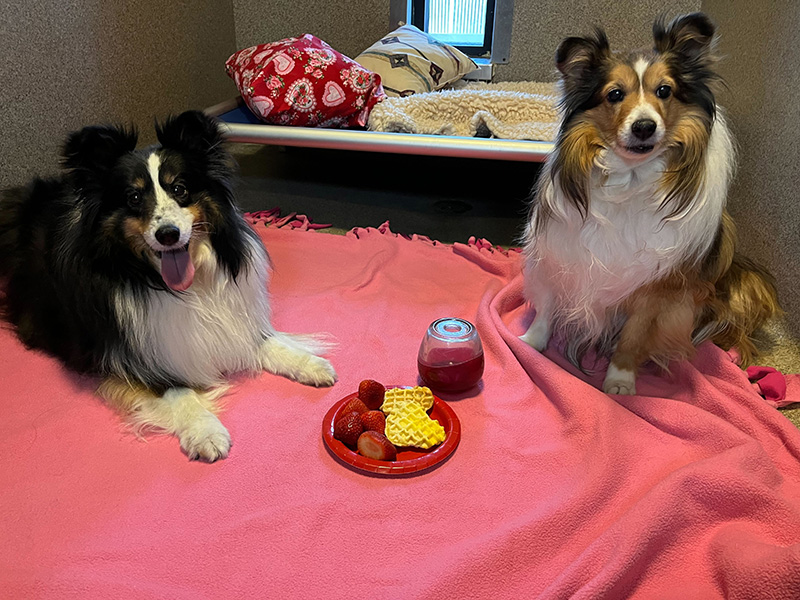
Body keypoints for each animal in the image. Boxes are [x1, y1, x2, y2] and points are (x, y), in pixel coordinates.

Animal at [0, 110, 336, 462]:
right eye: (134, 198)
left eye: (180, 188)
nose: (168, 234)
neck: (181, 286)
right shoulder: (129, 357)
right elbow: (178, 391)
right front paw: (205, 431)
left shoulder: (232, 322)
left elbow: (267, 342)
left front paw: (311, 364)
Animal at [520, 12, 780, 394]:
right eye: (615, 94)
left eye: (664, 91)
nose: (644, 126)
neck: (629, 178)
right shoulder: (561, 251)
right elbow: (547, 305)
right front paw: (531, 342)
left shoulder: (656, 288)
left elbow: (633, 335)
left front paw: (620, 379)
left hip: (741, 282)